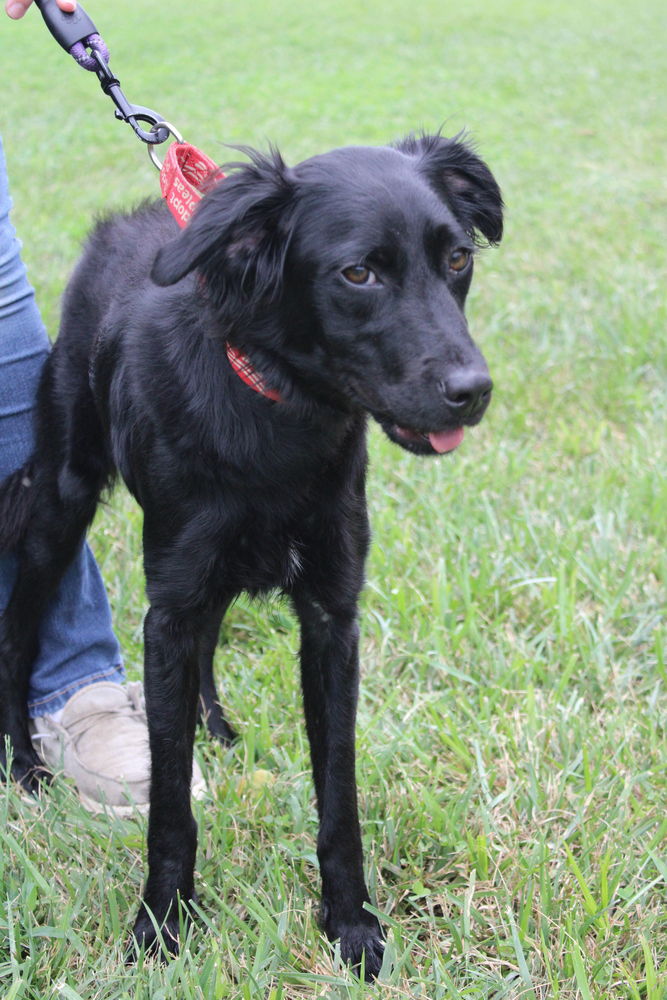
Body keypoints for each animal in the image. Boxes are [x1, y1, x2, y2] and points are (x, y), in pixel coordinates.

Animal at [0, 131, 500, 976]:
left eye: (457, 258)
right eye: (358, 273)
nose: (473, 391)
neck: (279, 411)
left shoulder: (330, 615)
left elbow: (338, 791)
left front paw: (350, 924)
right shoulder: (168, 606)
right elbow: (169, 798)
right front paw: (161, 922)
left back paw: (213, 724)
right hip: (60, 501)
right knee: (18, 628)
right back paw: (24, 769)